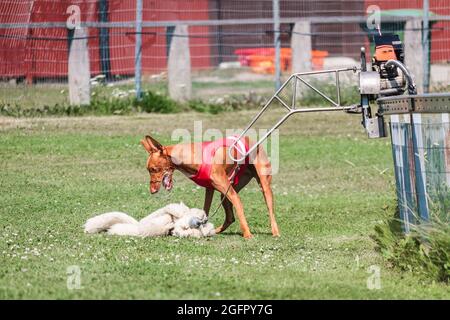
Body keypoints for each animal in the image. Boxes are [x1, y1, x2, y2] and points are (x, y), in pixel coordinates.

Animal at [141, 134, 278, 239]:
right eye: (149, 170)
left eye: (153, 169)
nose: (152, 191)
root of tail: (252, 140)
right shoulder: (210, 189)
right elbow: (205, 211)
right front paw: (201, 228)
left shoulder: (232, 194)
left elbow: (239, 208)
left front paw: (247, 234)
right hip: (226, 192)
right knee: (230, 218)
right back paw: (217, 231)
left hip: (262, 186)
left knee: (270, 210)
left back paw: (275, 232)